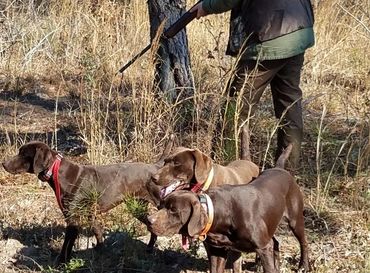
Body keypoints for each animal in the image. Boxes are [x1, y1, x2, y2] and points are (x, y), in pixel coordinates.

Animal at [1, 136, 173, 264]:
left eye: (23, 154)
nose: (3, 163)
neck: (57, 172)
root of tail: (156, 167)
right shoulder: (89, 214)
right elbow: (98, 231)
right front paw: (99, 250)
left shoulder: (73, 219)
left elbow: (67, 245)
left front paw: (61, 261)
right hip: (137, 207)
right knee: (152, 228)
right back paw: (149, 249)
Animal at [147, 143, 310, 270]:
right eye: (165, 161)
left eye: (173, 210)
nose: (149, 220)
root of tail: (279, 168)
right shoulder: (217, 251)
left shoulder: (262, 247)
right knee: (275, 243)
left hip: (295, 220)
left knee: (303, 242)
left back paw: (303, 266)